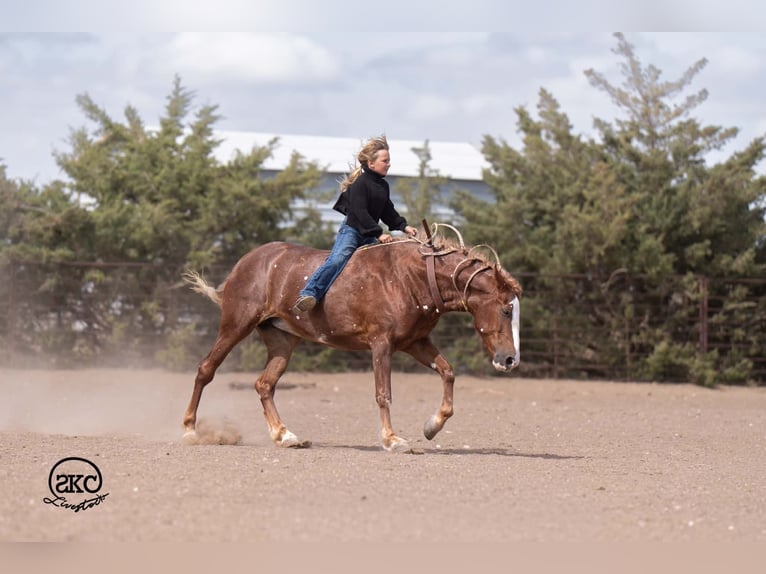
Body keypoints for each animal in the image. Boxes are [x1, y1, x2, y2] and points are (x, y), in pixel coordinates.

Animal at [182, 224, 522, 453]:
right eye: (506, 310)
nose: (509, 360)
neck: (413, 278)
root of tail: (245, 263)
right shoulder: (381, 345)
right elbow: (383, 393)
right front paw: (392, 439)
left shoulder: (415, 343)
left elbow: (448, 372)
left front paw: (432, 427)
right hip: (235, 326)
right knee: (205, 370)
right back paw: (189, 430)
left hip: (282, 341)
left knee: (264, 384)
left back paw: (285, 436)